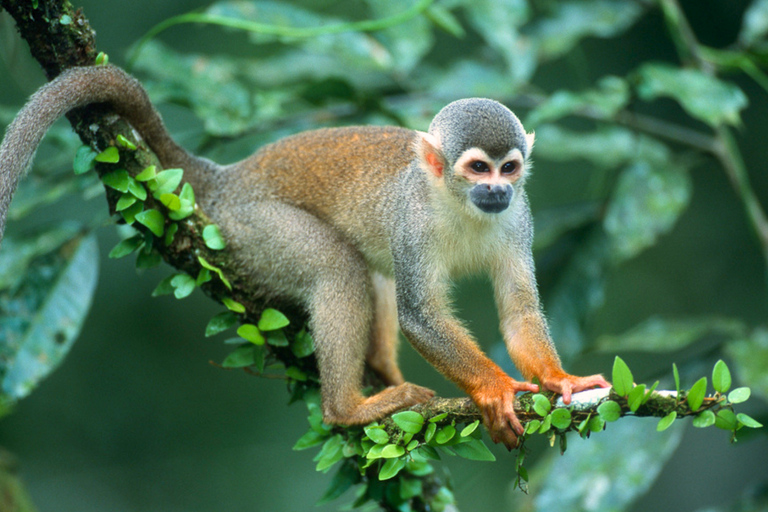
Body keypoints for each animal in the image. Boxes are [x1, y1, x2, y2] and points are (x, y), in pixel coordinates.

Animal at [1, 65, 612, 448]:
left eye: (509, 168)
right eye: (478, 169)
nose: (497, 191)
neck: (459, 204)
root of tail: (229, 177)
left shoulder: (520, 217)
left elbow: (519, 310)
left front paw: (560, 381)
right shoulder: (413, 219)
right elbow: (420, 315)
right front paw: (496, 389)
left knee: (369, 273)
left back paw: (380, 373)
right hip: (253, 230)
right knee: (339, 269)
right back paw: (348, 408)